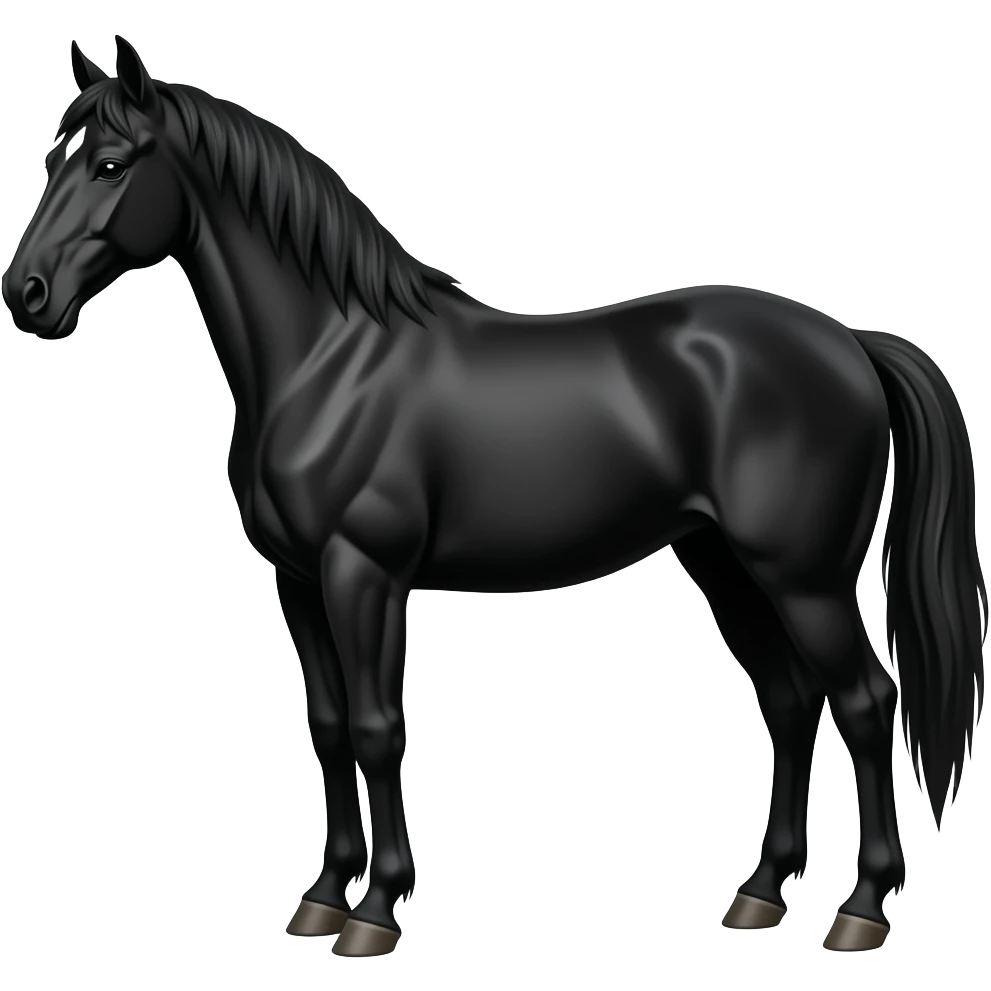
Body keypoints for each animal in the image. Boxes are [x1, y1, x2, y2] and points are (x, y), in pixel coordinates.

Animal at [3, 36, 985, 956]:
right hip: (723, 563)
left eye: (111, 163)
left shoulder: (365, 574)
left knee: (865, 703)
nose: (27, 294)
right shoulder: (298, 579)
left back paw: (860, 909)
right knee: (788, 703)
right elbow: (327, 727)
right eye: (54, 156)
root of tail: (849, 342)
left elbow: (377, 728)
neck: (331, 359)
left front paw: (375, 911)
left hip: (804, 578)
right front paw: (321, 897)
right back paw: (758, 894)